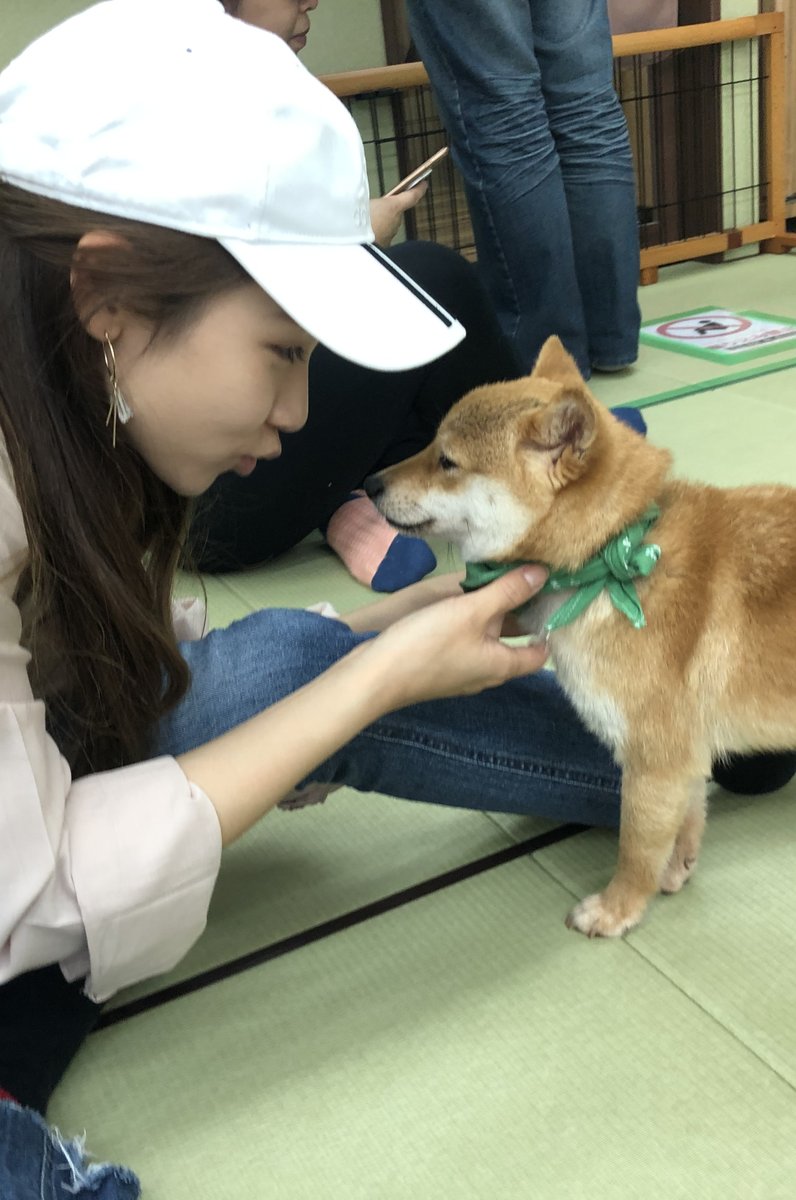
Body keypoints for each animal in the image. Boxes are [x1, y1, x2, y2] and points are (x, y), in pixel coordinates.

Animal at [364, 336, 796, 936]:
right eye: (429, 445)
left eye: (447, 461)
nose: (369, 484)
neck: (614, 554)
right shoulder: (683, 759)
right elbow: (686, 821)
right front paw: (677, 869)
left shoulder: (652, 761)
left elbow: (635, 849)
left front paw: (617, 909)